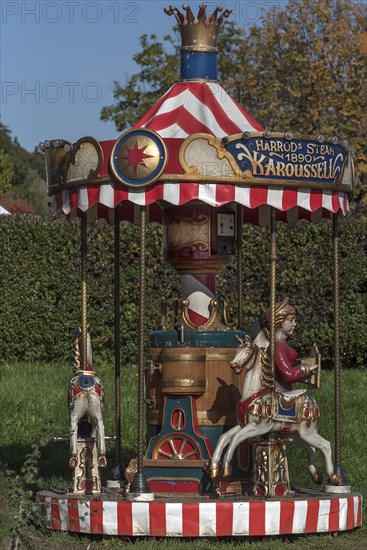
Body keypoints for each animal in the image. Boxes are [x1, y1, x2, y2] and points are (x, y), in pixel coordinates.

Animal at [68, 328, 106, 470]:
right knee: (101, 429)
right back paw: (101, 458)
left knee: (74, 431)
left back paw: (73, 458)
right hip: (96, 413)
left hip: (75, 413)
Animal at [208, 336, 340, 488]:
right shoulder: (244, 424)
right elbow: (224, 437)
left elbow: (235, 438)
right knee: (310, 448)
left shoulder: (258, 427)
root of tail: (313, 401)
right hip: (295, 435)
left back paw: (333, 477)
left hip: (308, 432)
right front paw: (213, 467)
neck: (253, 393)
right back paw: (316, 476)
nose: (233, 365)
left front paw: (225, 468)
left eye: (247, 351)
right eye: (236, 350)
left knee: (326, 445)